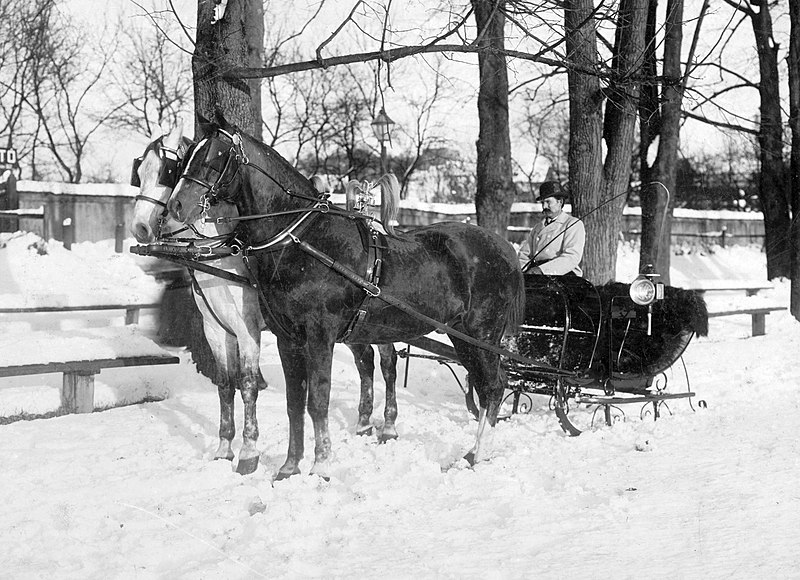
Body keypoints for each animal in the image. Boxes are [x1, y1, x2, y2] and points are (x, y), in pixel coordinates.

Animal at [169, 119, 524, 480]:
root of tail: (505, 247)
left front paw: (321, 465)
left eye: (215, 157)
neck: (303, 240)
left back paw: (476, 453)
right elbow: (294, 402)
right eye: (186, 157)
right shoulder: (286, 338)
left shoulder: (317, 336)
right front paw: (289, 467)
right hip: (459, 336)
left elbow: (317, 400)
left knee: (493, 386)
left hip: (479, 335)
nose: (176, 206)